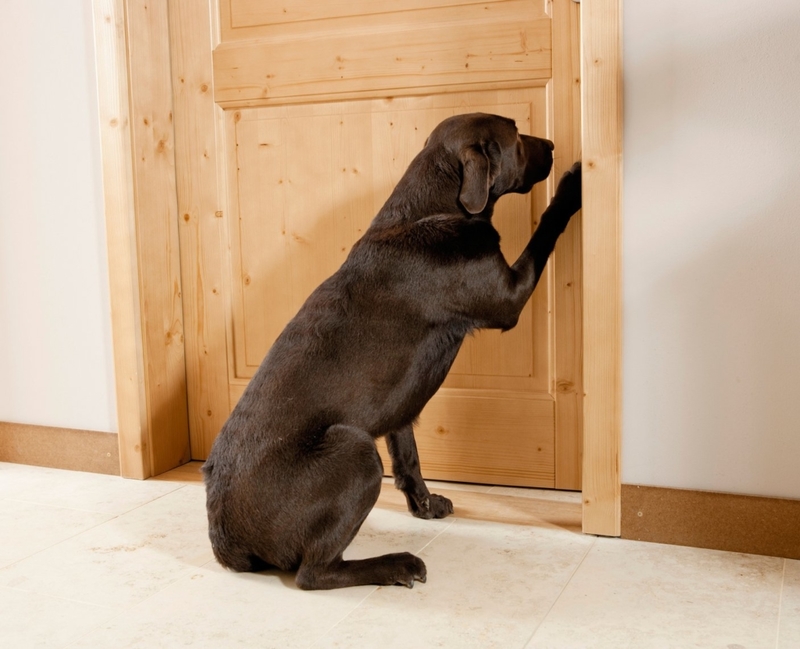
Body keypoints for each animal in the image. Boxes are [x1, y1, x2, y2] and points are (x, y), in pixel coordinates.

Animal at [206, 111, 580, 588]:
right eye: (516, 133)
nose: (551, 145)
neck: (433, 208)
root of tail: (224, 535)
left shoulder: (402, 405)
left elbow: (410, 458)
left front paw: (426, 505)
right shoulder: (508, 298)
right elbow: (544, 229)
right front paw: (573, 187)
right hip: (356, 451)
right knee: (315, 573)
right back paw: (397, 564)